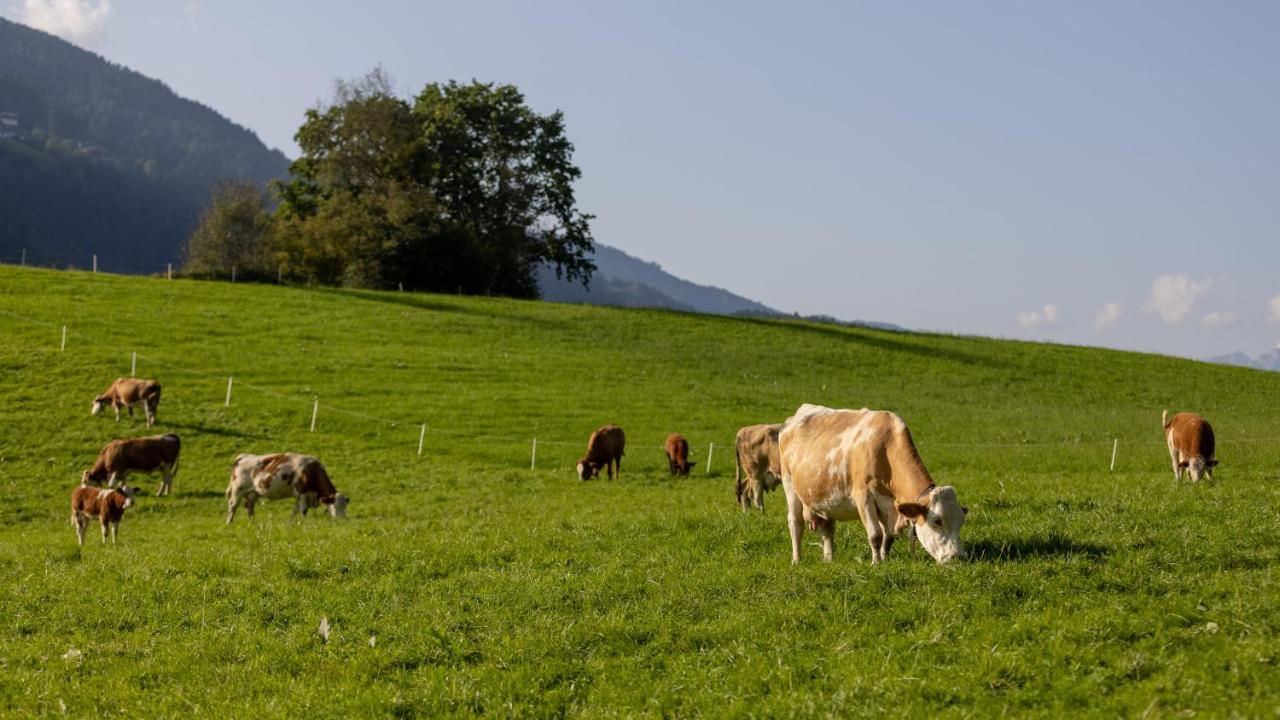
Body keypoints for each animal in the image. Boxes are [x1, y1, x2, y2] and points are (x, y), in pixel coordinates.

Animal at [773, 399, 962, 563]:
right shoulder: (864, 496)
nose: (958, 556)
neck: (886, 448)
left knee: (827, 529)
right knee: (796, 524)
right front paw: (876, 563)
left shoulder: (887, 505)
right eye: (937, 521)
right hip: (790, 486)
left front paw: (884, 559)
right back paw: (796, 560)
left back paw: (829, 560)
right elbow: (875, 535)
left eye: (961, 521)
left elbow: (888, 537)